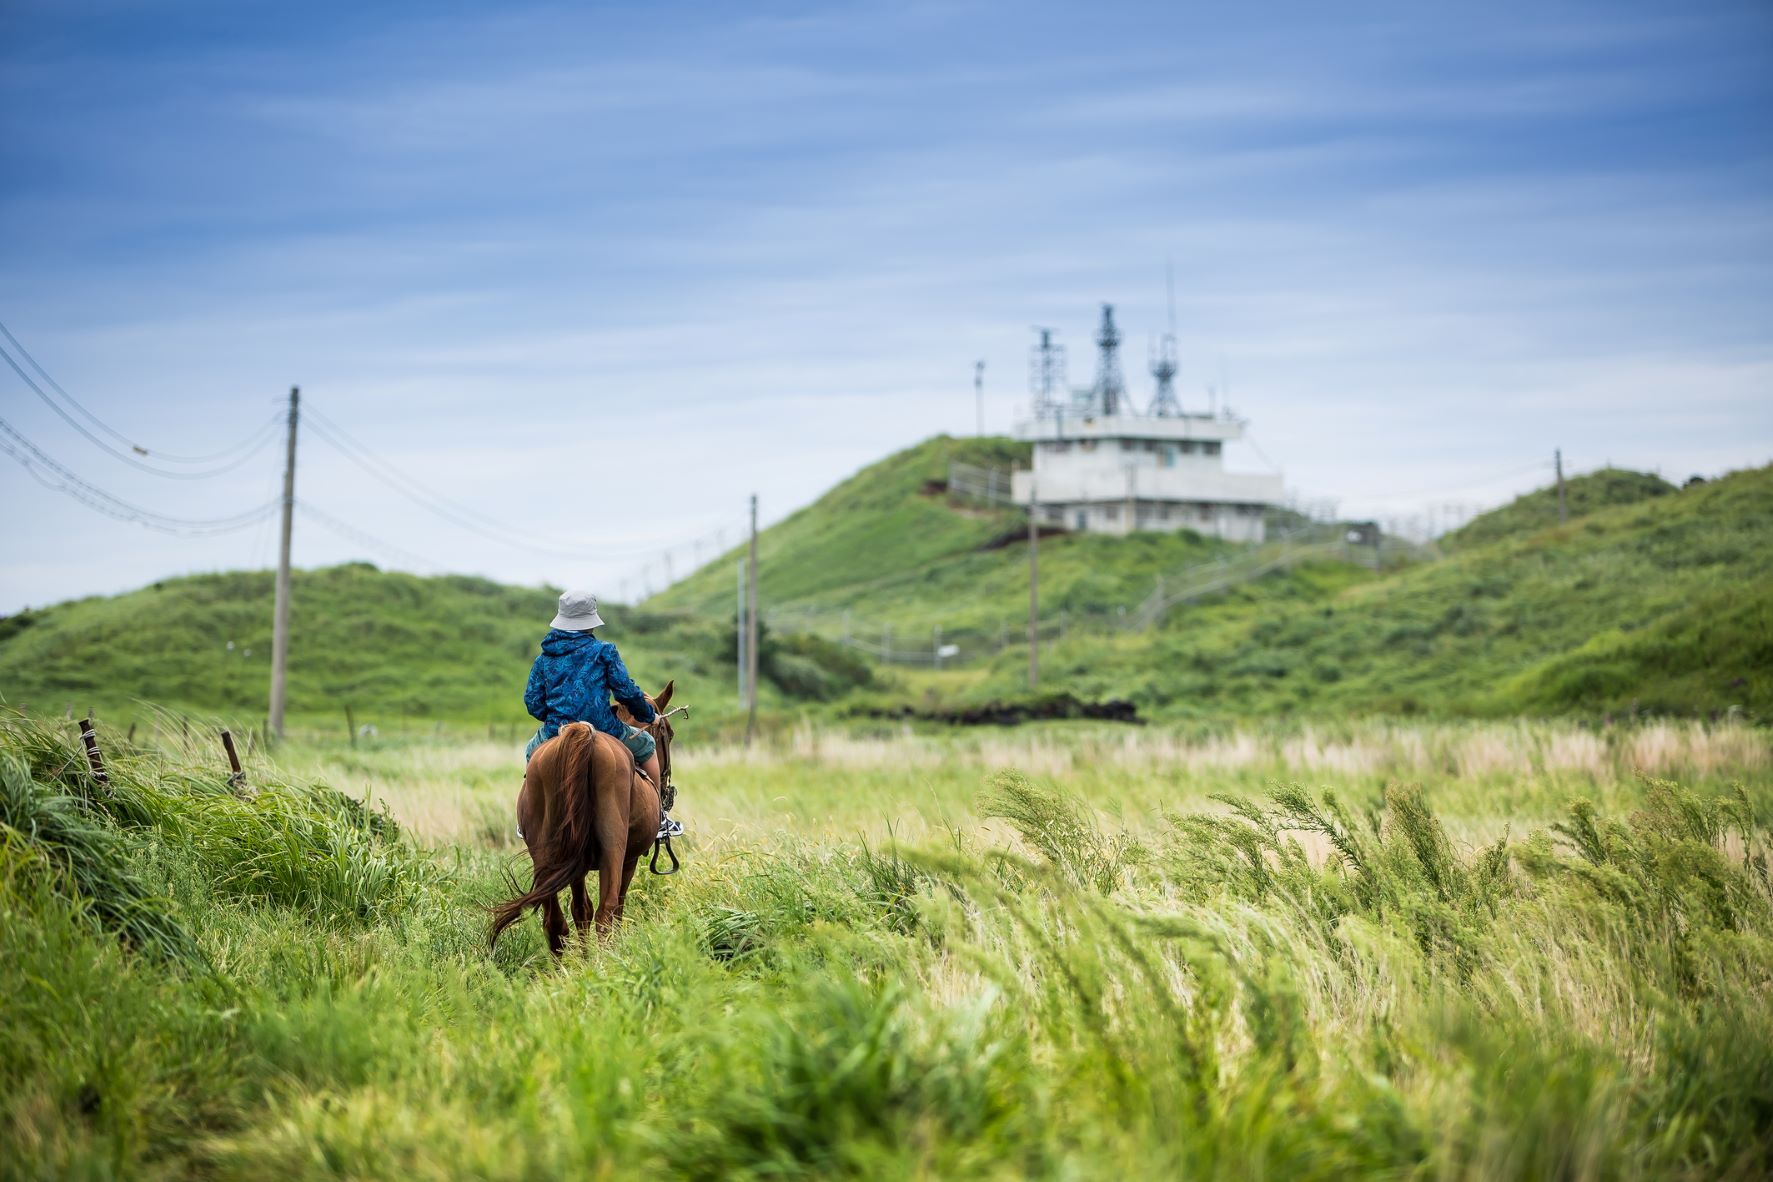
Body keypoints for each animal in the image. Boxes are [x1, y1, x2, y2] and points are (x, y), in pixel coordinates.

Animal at [492, 684, 677, 949]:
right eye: (668, 732)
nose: (666, 792)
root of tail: (584, 736)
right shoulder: (629, 860)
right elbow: (613, 908)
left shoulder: (575, 863)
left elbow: (580, 910)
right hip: (613, 849)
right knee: (606, 912)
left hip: (546, 852)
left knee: (555, 921)